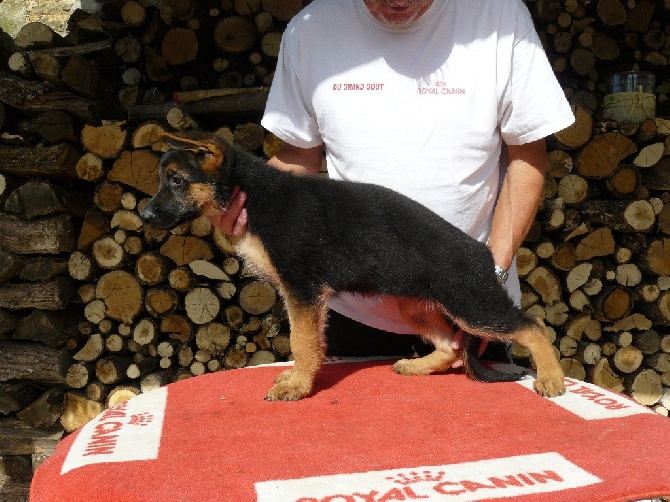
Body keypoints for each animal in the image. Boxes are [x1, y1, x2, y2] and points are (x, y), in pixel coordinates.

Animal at [142, 131, 568, 402]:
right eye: (164, 179)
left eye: (176, 180)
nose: (144, 216)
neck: (253, 192)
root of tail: (481, 253)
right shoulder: (299, 292)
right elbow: (302, 340)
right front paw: (296, 378)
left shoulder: (302, 289)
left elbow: (303, 341)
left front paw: (297, 385)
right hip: (416, 306)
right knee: (450, 345)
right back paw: (418, 367)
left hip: (472, 304)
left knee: (532, 325)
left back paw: (550, 377)